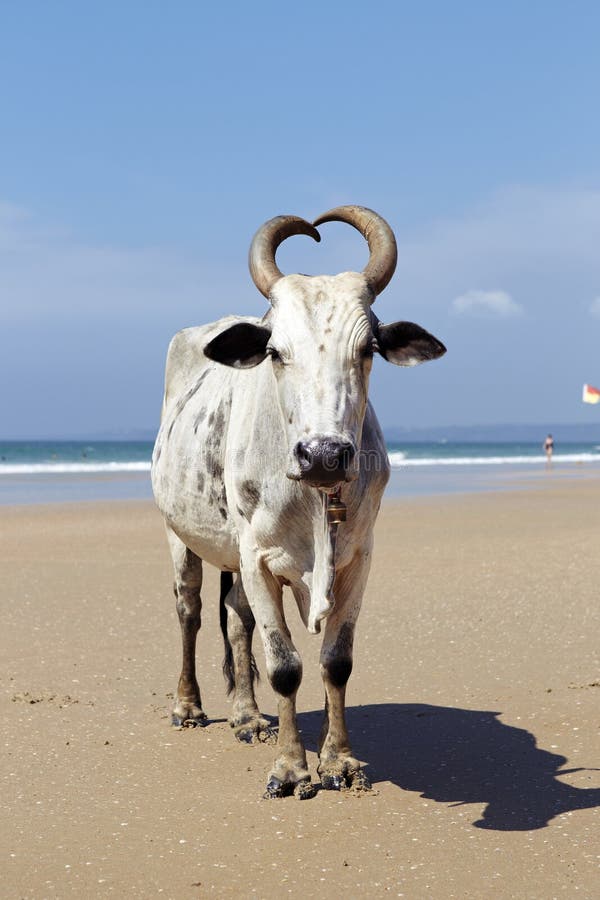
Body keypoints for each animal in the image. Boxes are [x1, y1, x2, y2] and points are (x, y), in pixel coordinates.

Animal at [151, 207, 446, 800]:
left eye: (367, 349)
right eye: (274, 352)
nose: (324, 455)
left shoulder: (358, 560)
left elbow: (336, 662)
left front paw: (339, 761)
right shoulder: (259, 559)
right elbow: (284, 665)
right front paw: (291, 769)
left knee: (236, 620)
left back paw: (246, 717)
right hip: (180, 536)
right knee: (191, 611)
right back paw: (188, 707)